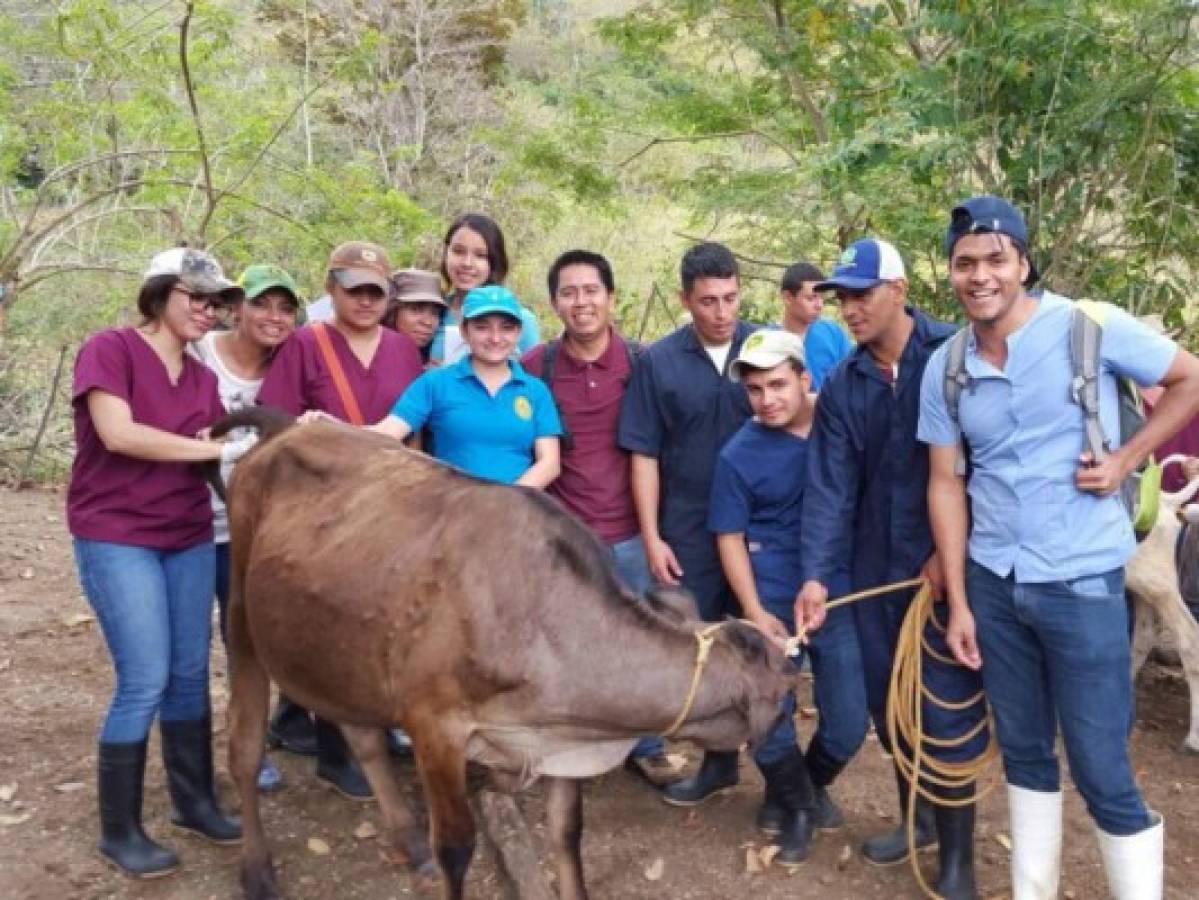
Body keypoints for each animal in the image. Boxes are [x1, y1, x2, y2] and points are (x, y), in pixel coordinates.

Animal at [218, 412, 796, 900]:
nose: (793, 677)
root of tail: (284, 428)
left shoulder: (560, 740)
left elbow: (567, 835)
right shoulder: (435, 726)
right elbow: (456, 848)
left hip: (343, 647)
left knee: (361, 736)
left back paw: (408, 841)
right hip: (242, 618)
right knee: (243, 748)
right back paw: (257, 870)